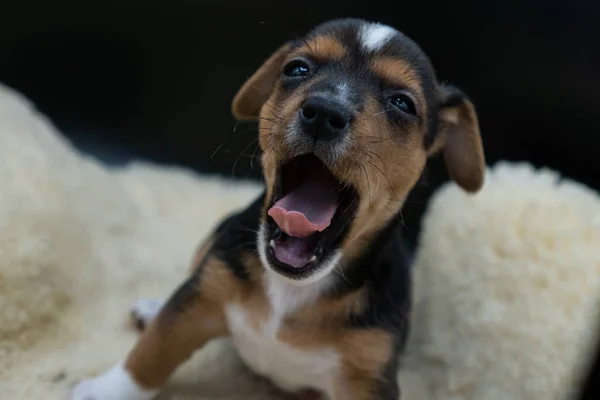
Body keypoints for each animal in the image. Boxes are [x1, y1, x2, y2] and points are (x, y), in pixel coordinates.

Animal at [70, 18, 486, 400]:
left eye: (402, 102)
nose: (323, 111)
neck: (292, 288)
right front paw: (107, 390)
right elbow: (154, 350)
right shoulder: (205, 292)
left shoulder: (367, 373)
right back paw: (152, 307)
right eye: (297, 69)